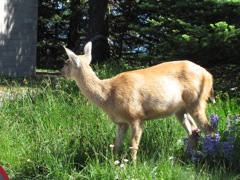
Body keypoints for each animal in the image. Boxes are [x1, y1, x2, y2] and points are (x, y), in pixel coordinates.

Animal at [61, 41, 215, 161]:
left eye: (67, 62)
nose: (60, 72)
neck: (107, 95)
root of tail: (209, 75)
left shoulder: (136, 116)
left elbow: (133, 145)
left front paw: (132, 166)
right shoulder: (121, 121)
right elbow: (116, 144)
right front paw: (113, 163)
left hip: (196, 101)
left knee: (209, 130)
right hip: (180, 110)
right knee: (194, 132)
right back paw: (188, 156)